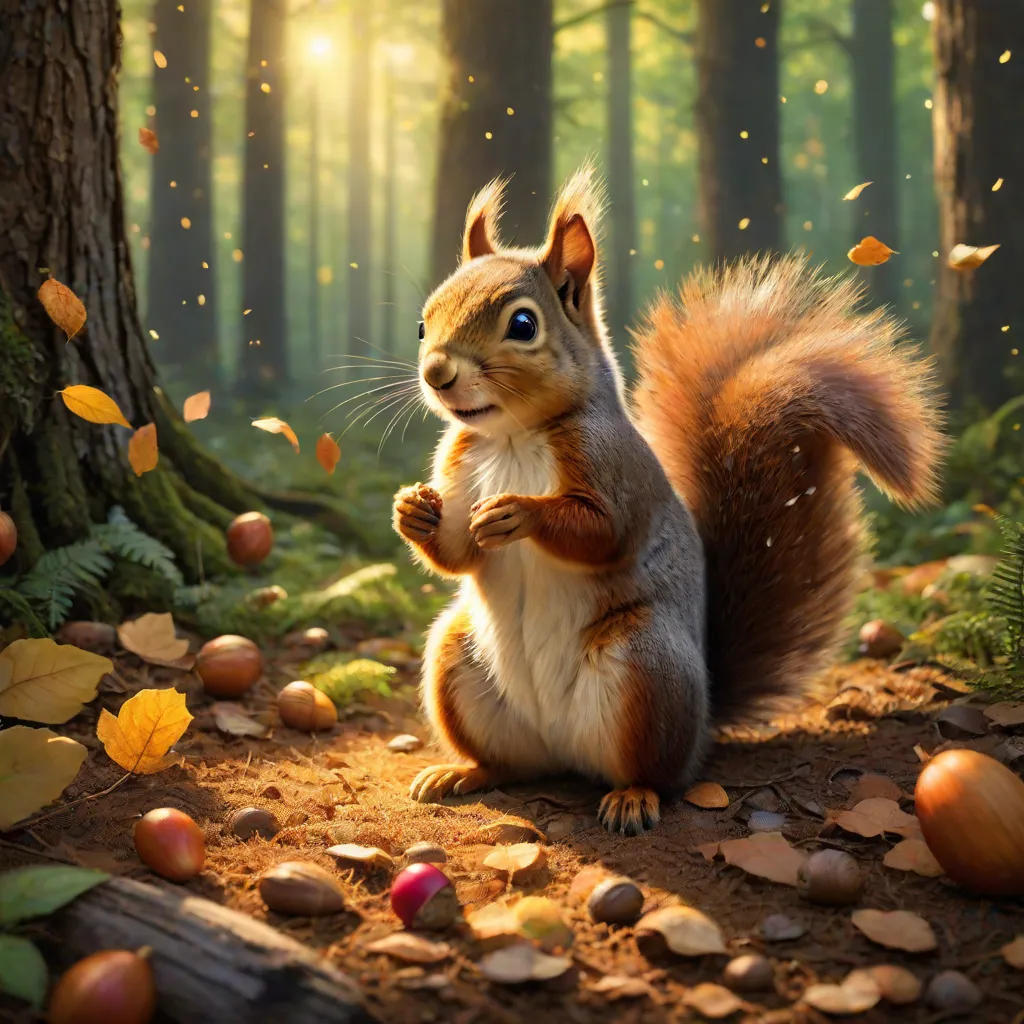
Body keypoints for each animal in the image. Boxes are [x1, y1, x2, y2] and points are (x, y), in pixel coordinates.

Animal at [393, 168, 944, 835]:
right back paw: (463, 773)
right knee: (511, 764)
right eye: (424, 323)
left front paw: (517, 511)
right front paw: (411, 510)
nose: (436, 373)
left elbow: (603, 533)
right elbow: (457, 553)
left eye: (522, 325)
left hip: (645, 667)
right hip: (458, 662)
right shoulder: (459, 465)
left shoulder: (614, 469)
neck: (513, 437)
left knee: (654, 771)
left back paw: (633, 797)